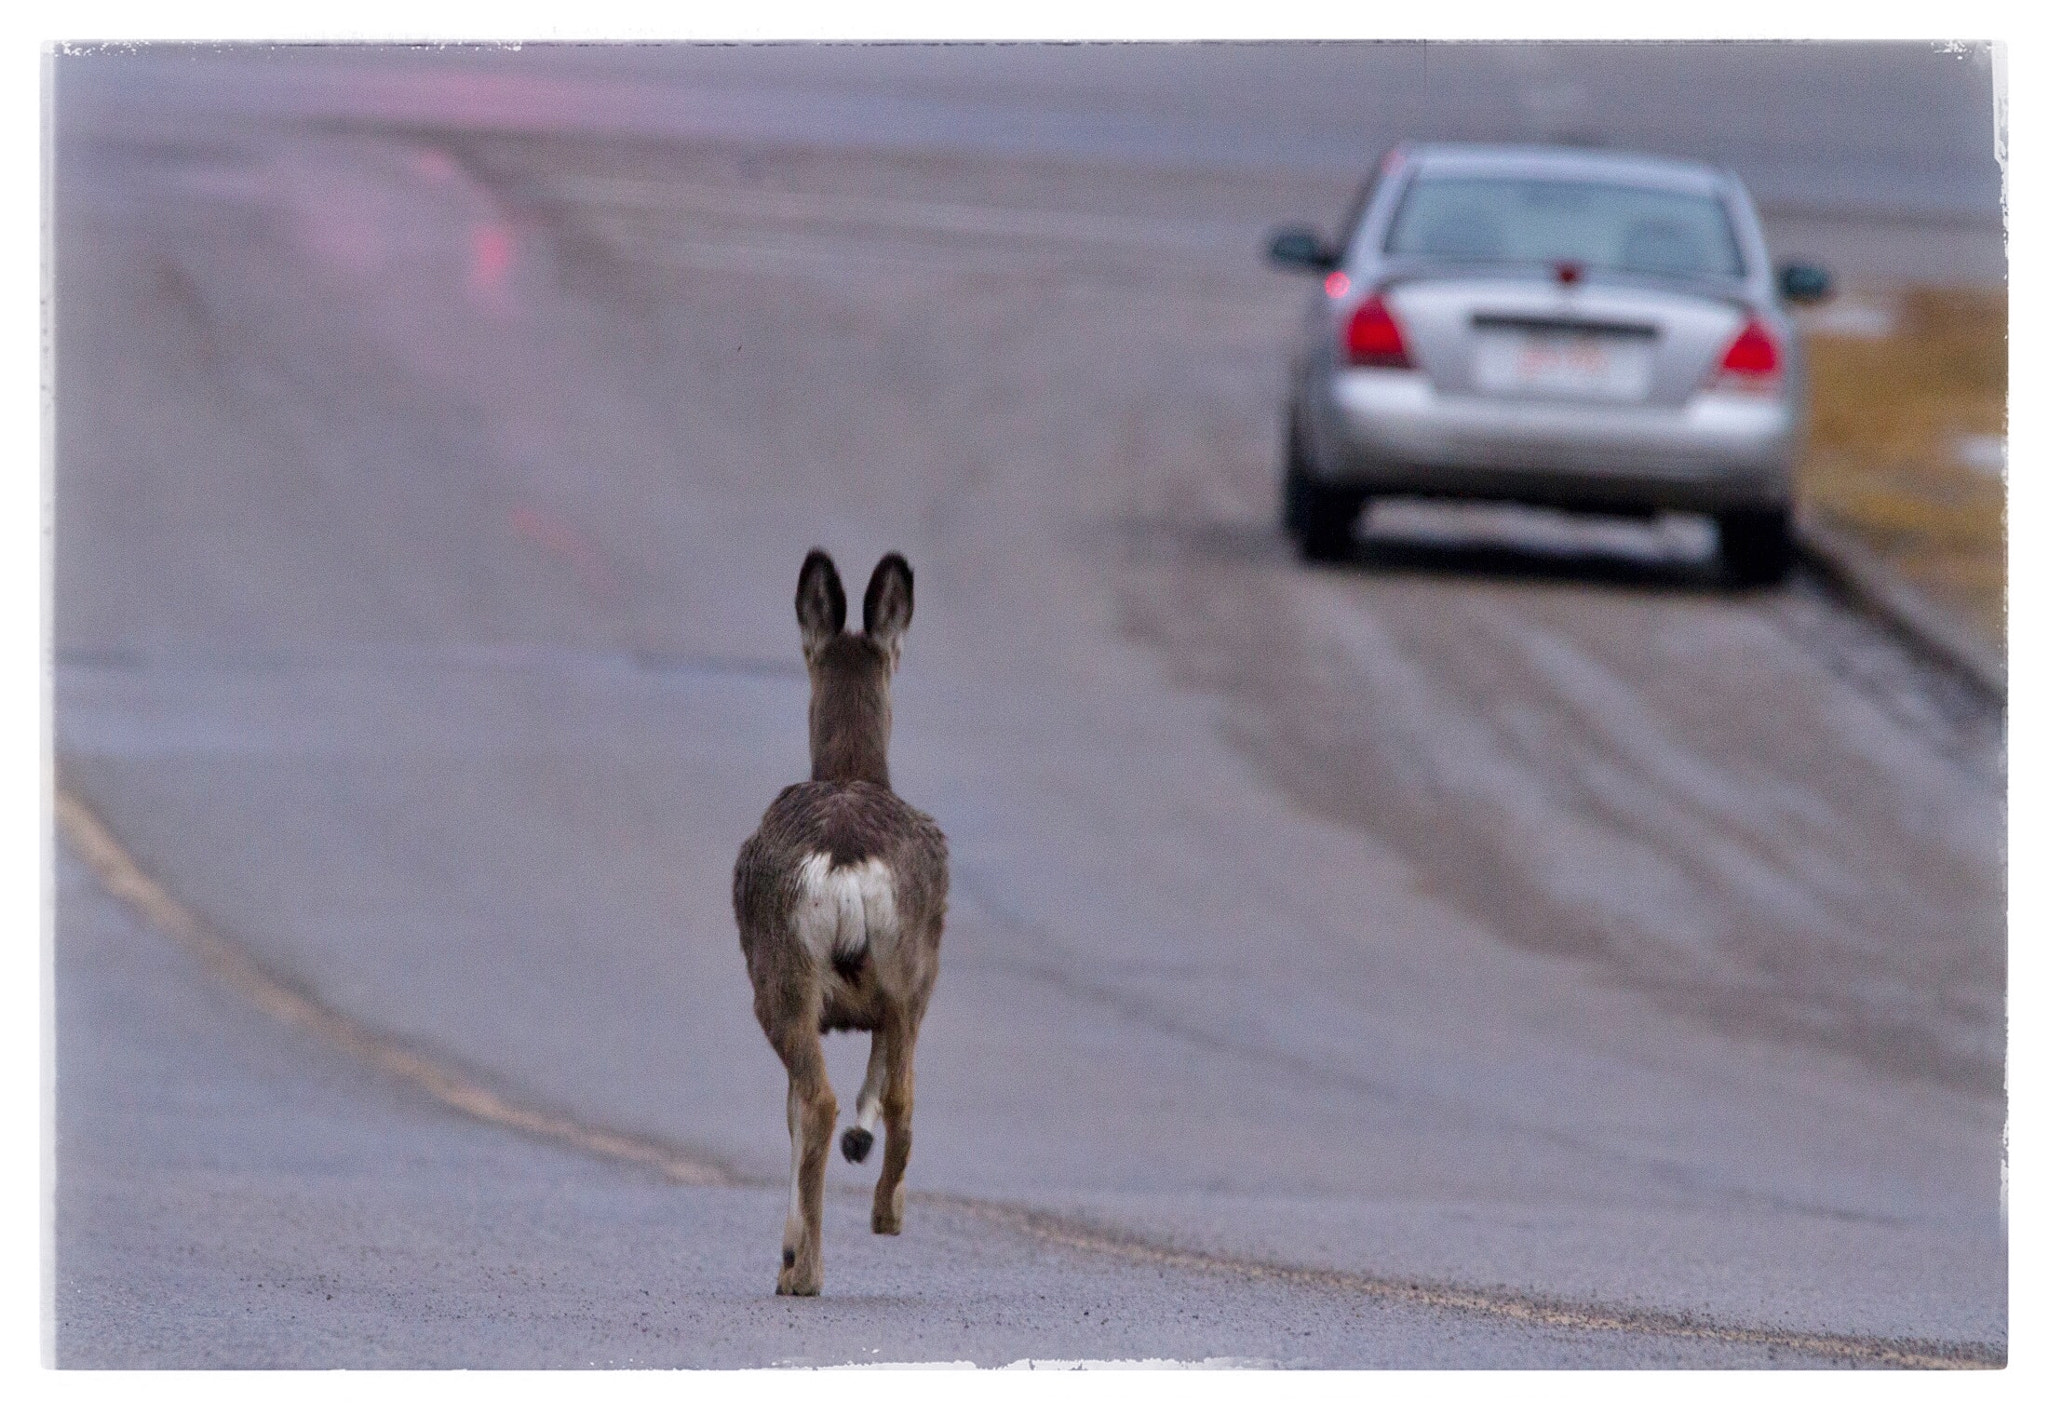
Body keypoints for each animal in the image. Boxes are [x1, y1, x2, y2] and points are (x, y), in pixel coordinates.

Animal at [732, 550, 949, 1296]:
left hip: (781, 976)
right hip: (911, 967)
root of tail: (849, 863)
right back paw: (884, 1216)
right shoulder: (909, 989)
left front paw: (792, 1255)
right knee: (903, 1095)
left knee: (816, 1103)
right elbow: (874, 1085)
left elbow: (797, 1116)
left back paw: (805, 1268)